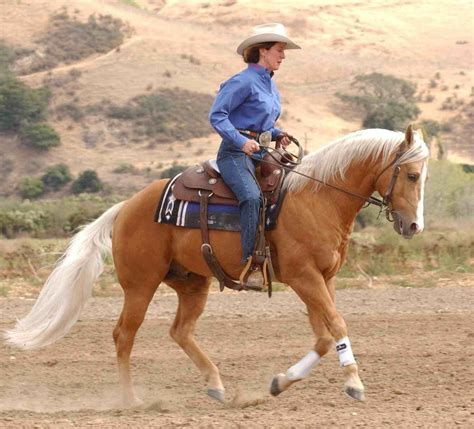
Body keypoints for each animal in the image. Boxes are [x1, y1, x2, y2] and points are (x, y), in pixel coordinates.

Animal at [5, 123, 432, 404]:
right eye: (412, 175)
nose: (413, 225)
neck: (317, 197)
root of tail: (125, 207)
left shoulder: (321, 279)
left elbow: (325, 336)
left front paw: (280, 382)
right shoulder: (304, 278)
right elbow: (337, 326)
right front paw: (355, 384)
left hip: (193, 282)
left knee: (180, 331)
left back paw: (216, 384)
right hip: (140, 285)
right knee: (124, 335)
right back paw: (131, 400)